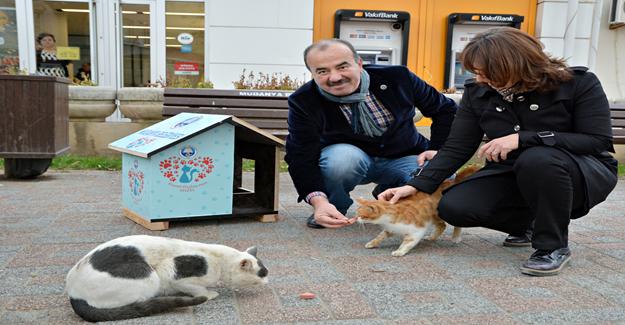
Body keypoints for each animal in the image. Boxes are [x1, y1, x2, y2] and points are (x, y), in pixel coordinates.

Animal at [64, 234, 266, 320]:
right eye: (262, 274)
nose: (267, 281)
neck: (218, 260)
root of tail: (74, 294)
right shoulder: (171, 273)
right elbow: (197, 289)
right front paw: (209, 294)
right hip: (149, 275)